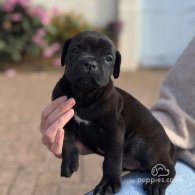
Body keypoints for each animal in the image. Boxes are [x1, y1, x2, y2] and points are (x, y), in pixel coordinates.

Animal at [51, 31, 175, 194]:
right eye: (75, 50)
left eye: (108, 58)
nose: (90, 63)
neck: (84, 95)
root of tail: (170, 146)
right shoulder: (64, 117)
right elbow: (67, 138)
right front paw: (69, 163)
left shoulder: (114, 129)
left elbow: (112, 158)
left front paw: (108, 183)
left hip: (143, 144)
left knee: (168, 167)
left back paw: (157, 184)